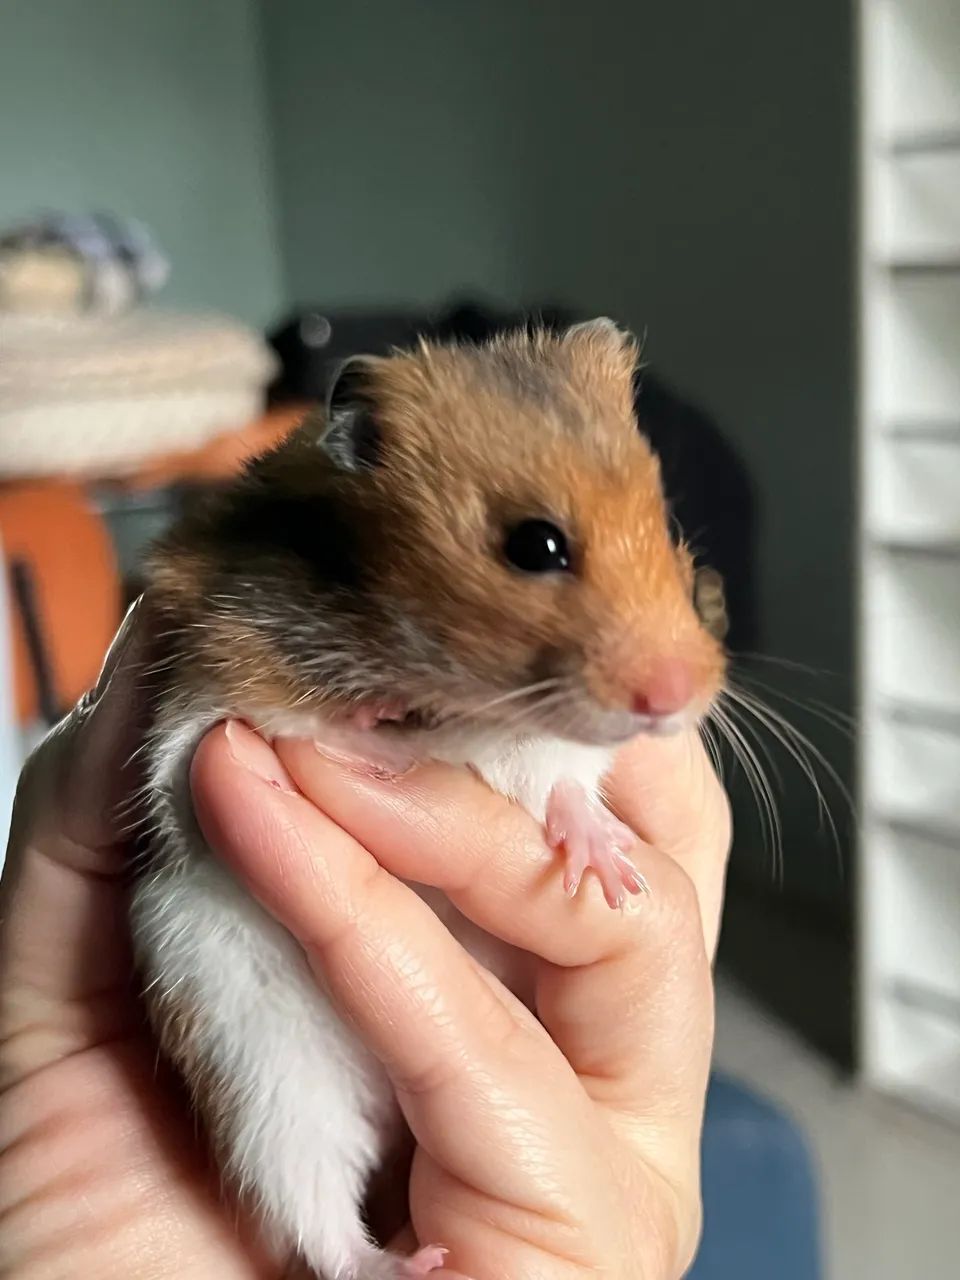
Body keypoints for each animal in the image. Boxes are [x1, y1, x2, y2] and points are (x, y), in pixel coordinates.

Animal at [131, 318, 726, 1279]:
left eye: (666, 523)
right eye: (535, 546)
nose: (678, 700)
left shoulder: (555, 748)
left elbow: (560, 775)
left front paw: (610, 874)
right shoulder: (203, 718)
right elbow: (290, 730)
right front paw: (384, 738)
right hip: (261, 1069)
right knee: (316, 1215)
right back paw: (411, 1262)